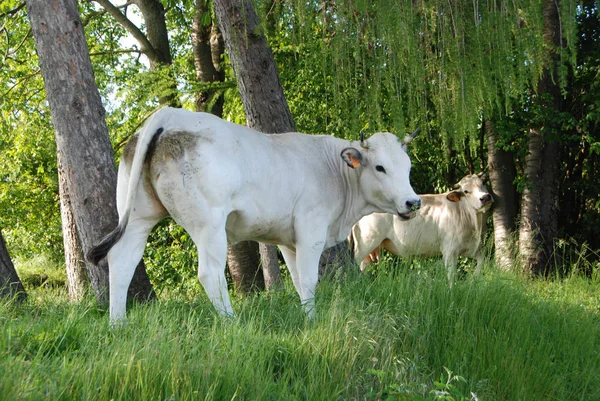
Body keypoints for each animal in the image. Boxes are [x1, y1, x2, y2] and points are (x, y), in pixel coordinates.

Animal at [88, 105, 422, 322]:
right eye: (380, 167)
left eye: (408, 167)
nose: (413, 202)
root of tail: (170, 114)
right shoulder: (311, 231)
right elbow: (310, 279)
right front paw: (312, 321)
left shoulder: (289, 241)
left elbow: (298, 280)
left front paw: (307, 318)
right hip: (209, 224)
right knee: (209, 273)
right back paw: (231, 323)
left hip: (138, 216)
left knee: (122, 261)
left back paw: (118, 324)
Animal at [346, 173, 492, 284]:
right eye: (466, 191)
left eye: (482, 184)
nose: (485, 197)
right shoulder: (450, 250)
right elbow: (451, 276)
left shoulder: (476, 248)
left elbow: (481, 264)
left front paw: (473, 280)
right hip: (364, 244)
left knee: (364, 266)